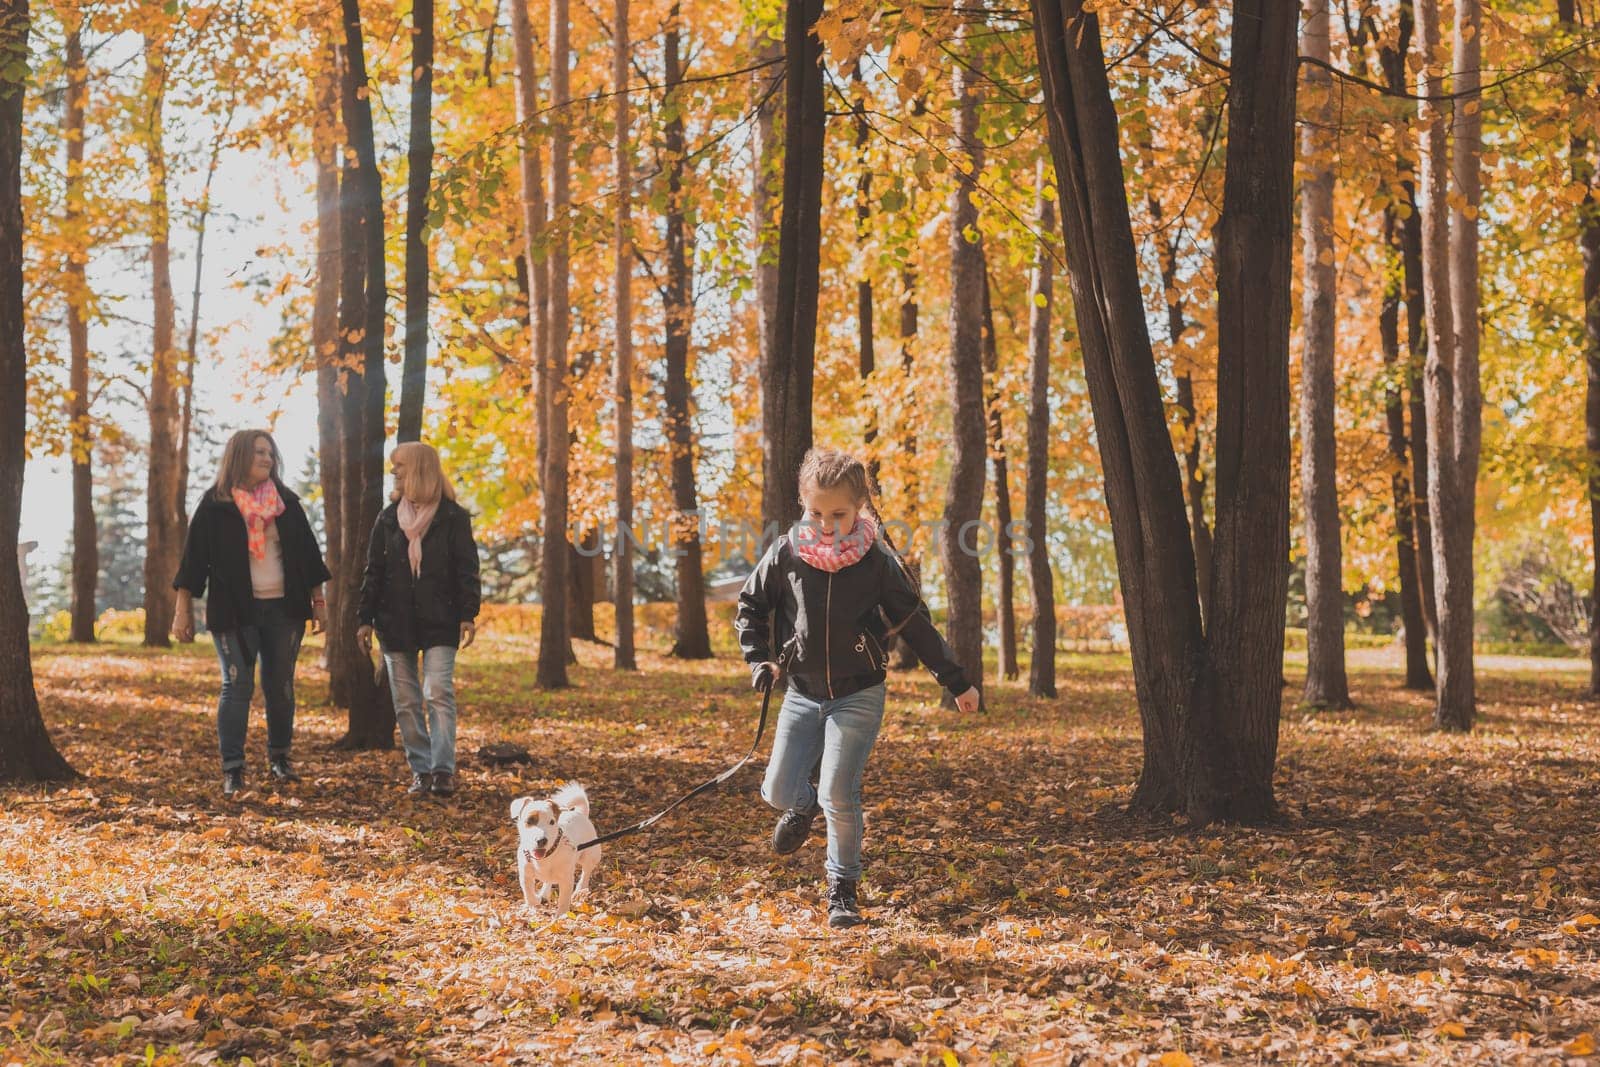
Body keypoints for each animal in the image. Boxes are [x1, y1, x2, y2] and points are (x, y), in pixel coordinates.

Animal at [508, 780, 601, 921]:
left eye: (552, 822)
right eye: (529, 820)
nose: (542, 840)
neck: (545, 857)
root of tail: (581, 813)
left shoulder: (566, 879)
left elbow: (563, 900)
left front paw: (561, 916)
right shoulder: (525, 875)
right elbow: (528, 893)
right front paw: (533, 905)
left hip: (590, 855)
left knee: (586, 871)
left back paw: (580, 890)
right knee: (548, 881)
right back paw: (544, 894)